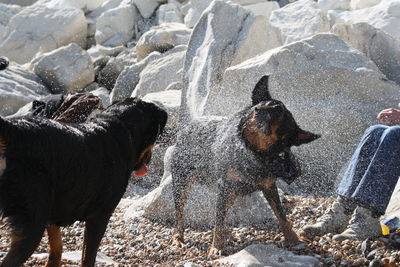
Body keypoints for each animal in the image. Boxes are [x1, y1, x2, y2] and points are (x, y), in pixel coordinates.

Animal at [0, 98, 167, 267]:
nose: (150, 159)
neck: (118, 125)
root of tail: (13, 130)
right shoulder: (99, 217)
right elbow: (88, 257)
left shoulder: (54, 211)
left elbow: (57, 247)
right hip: (32, 222)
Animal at [170, 75, 320, 255]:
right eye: (263, 105)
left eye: (280, 115)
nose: (258, 109)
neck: (254, 152)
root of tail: (187, 127)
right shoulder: (226, 186)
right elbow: (219, 219)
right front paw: (216, 247)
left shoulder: (269, 186)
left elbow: (282, 215)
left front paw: (293, 239)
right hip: (182, 181)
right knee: (180, 214)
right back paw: (178, 238)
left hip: (230, 191)